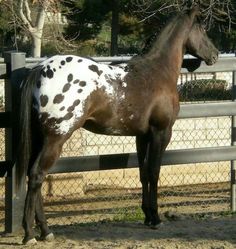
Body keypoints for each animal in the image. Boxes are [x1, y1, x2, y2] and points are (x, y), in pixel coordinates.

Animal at [15, 6, 218, 245]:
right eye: (202, 28)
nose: (215, 54)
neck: (158, 71)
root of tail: (40, 68)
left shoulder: (142, 136)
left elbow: (143, 173)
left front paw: (147, 216)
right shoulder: (161, 133)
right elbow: (154, 172)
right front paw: (156, 218)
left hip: (40, 138)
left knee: (34, 175)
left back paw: (45, 231)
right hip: (55, 138)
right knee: (37, 175)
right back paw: (30, 234)